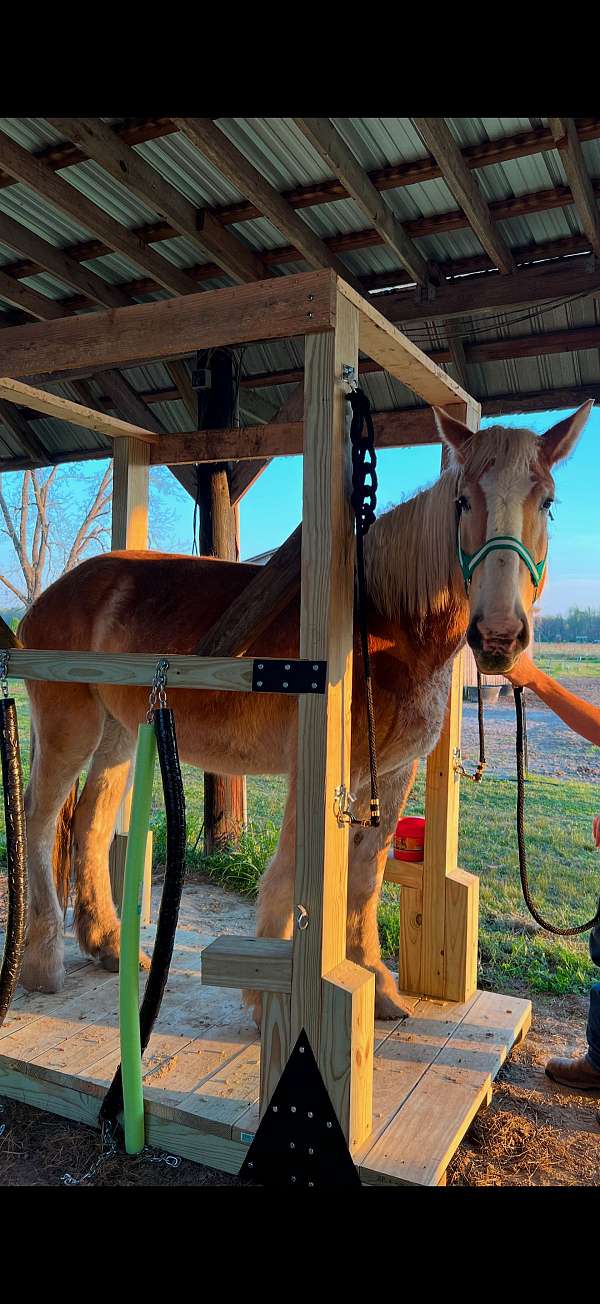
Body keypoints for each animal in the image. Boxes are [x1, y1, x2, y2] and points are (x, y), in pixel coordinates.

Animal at [15, 399, 589, 1017]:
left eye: (547, 501)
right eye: (462, 500)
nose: (499, 636)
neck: (382, 626)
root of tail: (47, 598)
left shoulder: (393, 773)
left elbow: (365, 876)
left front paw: (377, 984)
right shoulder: (319, 771)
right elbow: (294, 875)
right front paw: (271, 997)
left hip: (121, 732)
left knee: (91, 822)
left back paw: (106, 945)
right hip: (70, 729)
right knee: (41, 820)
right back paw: (42, 962)